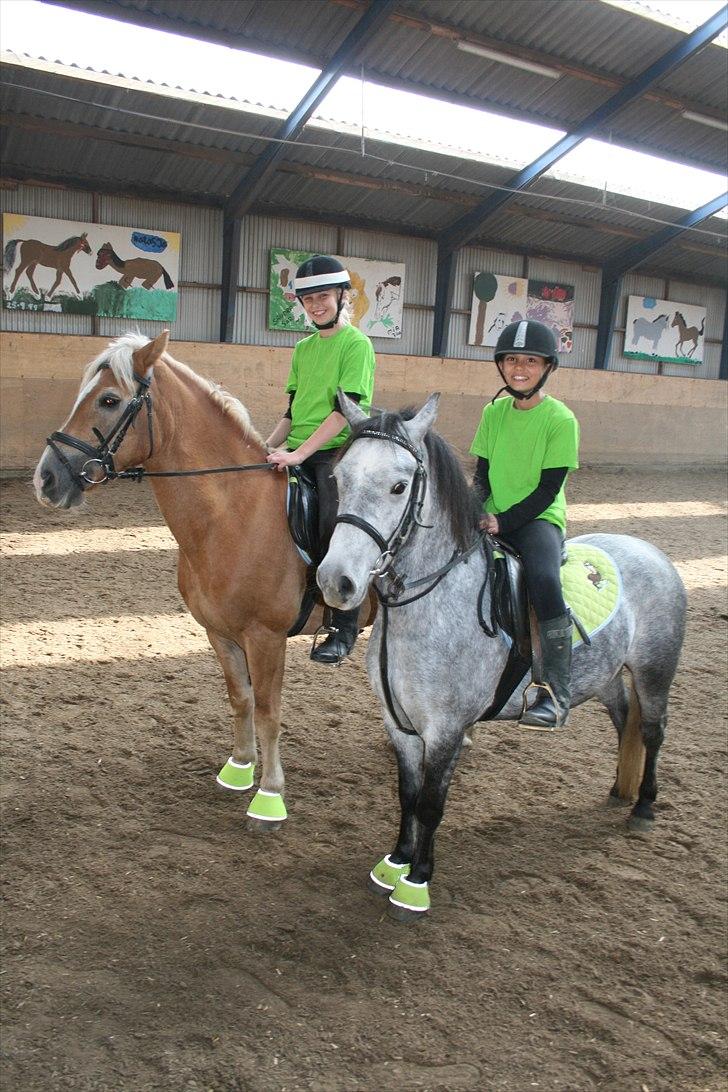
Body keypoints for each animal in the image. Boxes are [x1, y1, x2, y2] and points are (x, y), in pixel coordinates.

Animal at [33, 331, 372, 829]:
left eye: (109, 400)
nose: (46, 479)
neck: (233, 513)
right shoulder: (219, 632)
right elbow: (241, 699)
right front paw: (239, 768)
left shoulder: (265, 637)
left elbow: (268, 711)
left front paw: (269, 796)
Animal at [317, 394, 687, 922]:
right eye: (339, 477)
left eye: (399, 486)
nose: (336, 582)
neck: (428, 604)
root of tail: (649, 550)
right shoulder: (398, 722)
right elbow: (407, 795)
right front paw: (396, 861)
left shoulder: (446, 728)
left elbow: (431, 803)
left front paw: (417, 881)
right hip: (605, 677)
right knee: (624, 721)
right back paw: (621, 792)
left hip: (655, 672)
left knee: (653, 731)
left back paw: (644, 808)